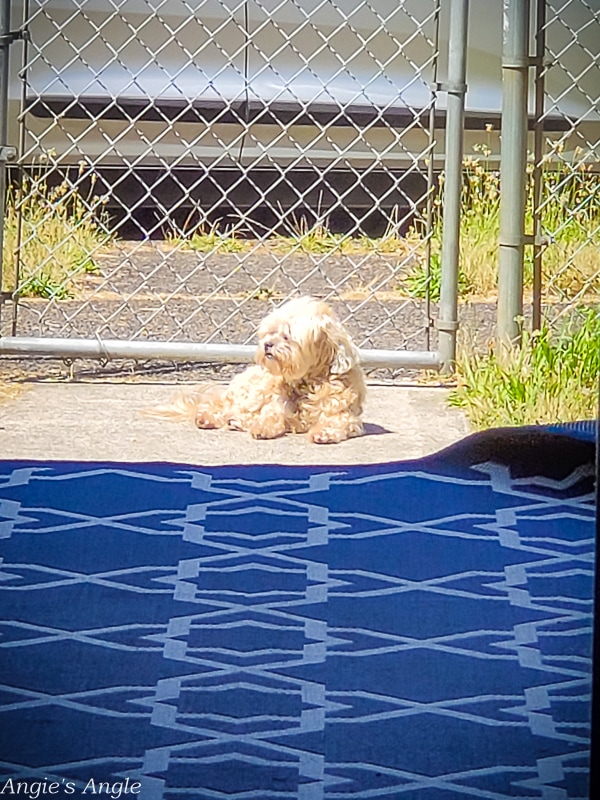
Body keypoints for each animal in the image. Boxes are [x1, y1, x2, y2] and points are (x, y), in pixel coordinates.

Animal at [150, 296, 366, 444]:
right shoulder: (275, 404)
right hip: (252, 392)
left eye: (287, 336)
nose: (267, 344)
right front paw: (264, 426)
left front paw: (323, 432)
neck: (305, 382)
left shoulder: (347, 417)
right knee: (223, 407)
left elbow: (335, 422)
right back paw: (211, 418)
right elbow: (272, 415)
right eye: (271, 332)